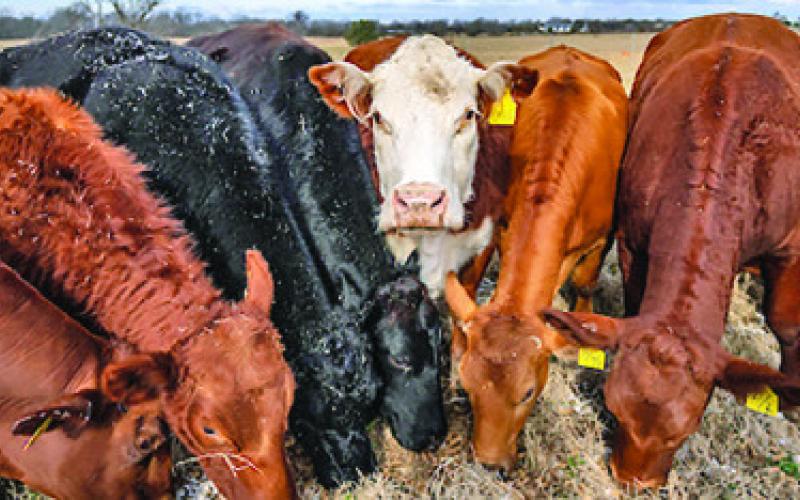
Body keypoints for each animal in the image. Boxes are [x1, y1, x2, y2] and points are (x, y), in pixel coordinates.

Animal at [443, 46, 628, 472]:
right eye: (468, 385)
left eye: (527, 393)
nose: (489, 463)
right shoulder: (497, 220)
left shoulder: (600, 237)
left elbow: (583, 284)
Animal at [541, 13, 800, 487]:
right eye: (614, 411)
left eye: (685, 432)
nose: (633, 484)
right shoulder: (631, 239)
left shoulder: (789, 248)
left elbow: (786, 324)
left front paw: (789, 400)